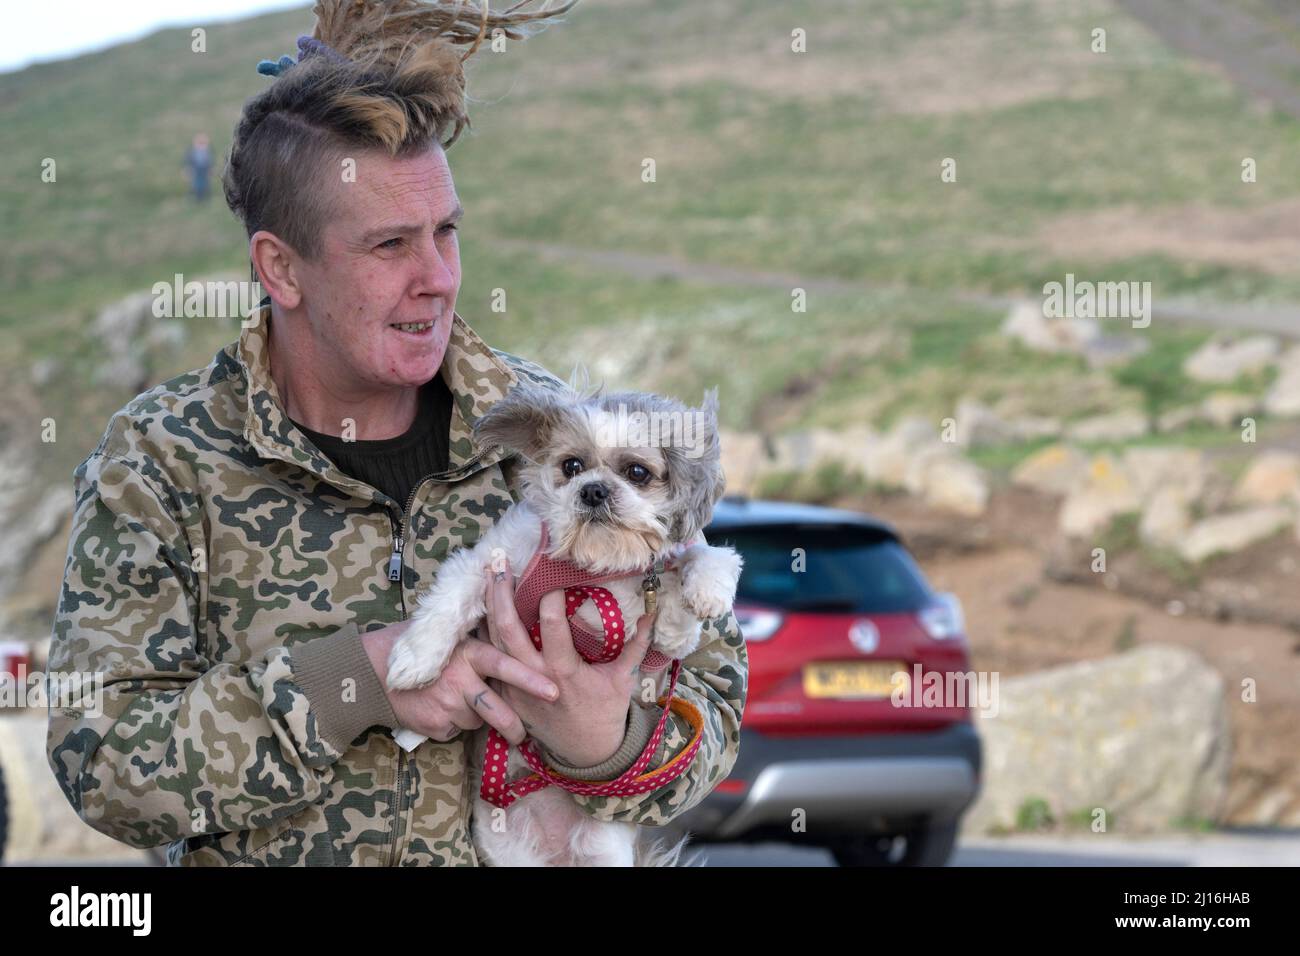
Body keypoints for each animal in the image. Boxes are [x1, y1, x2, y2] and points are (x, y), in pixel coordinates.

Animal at [384, 379, 743, 868]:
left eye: (637, 472)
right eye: (571, 466)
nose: (592, 489)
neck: (586, 570)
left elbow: (700, 563)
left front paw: (696, 598)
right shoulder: (490, 563)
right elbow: (450, 602)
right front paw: (415, 660)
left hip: (605, 852)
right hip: (510, 852)